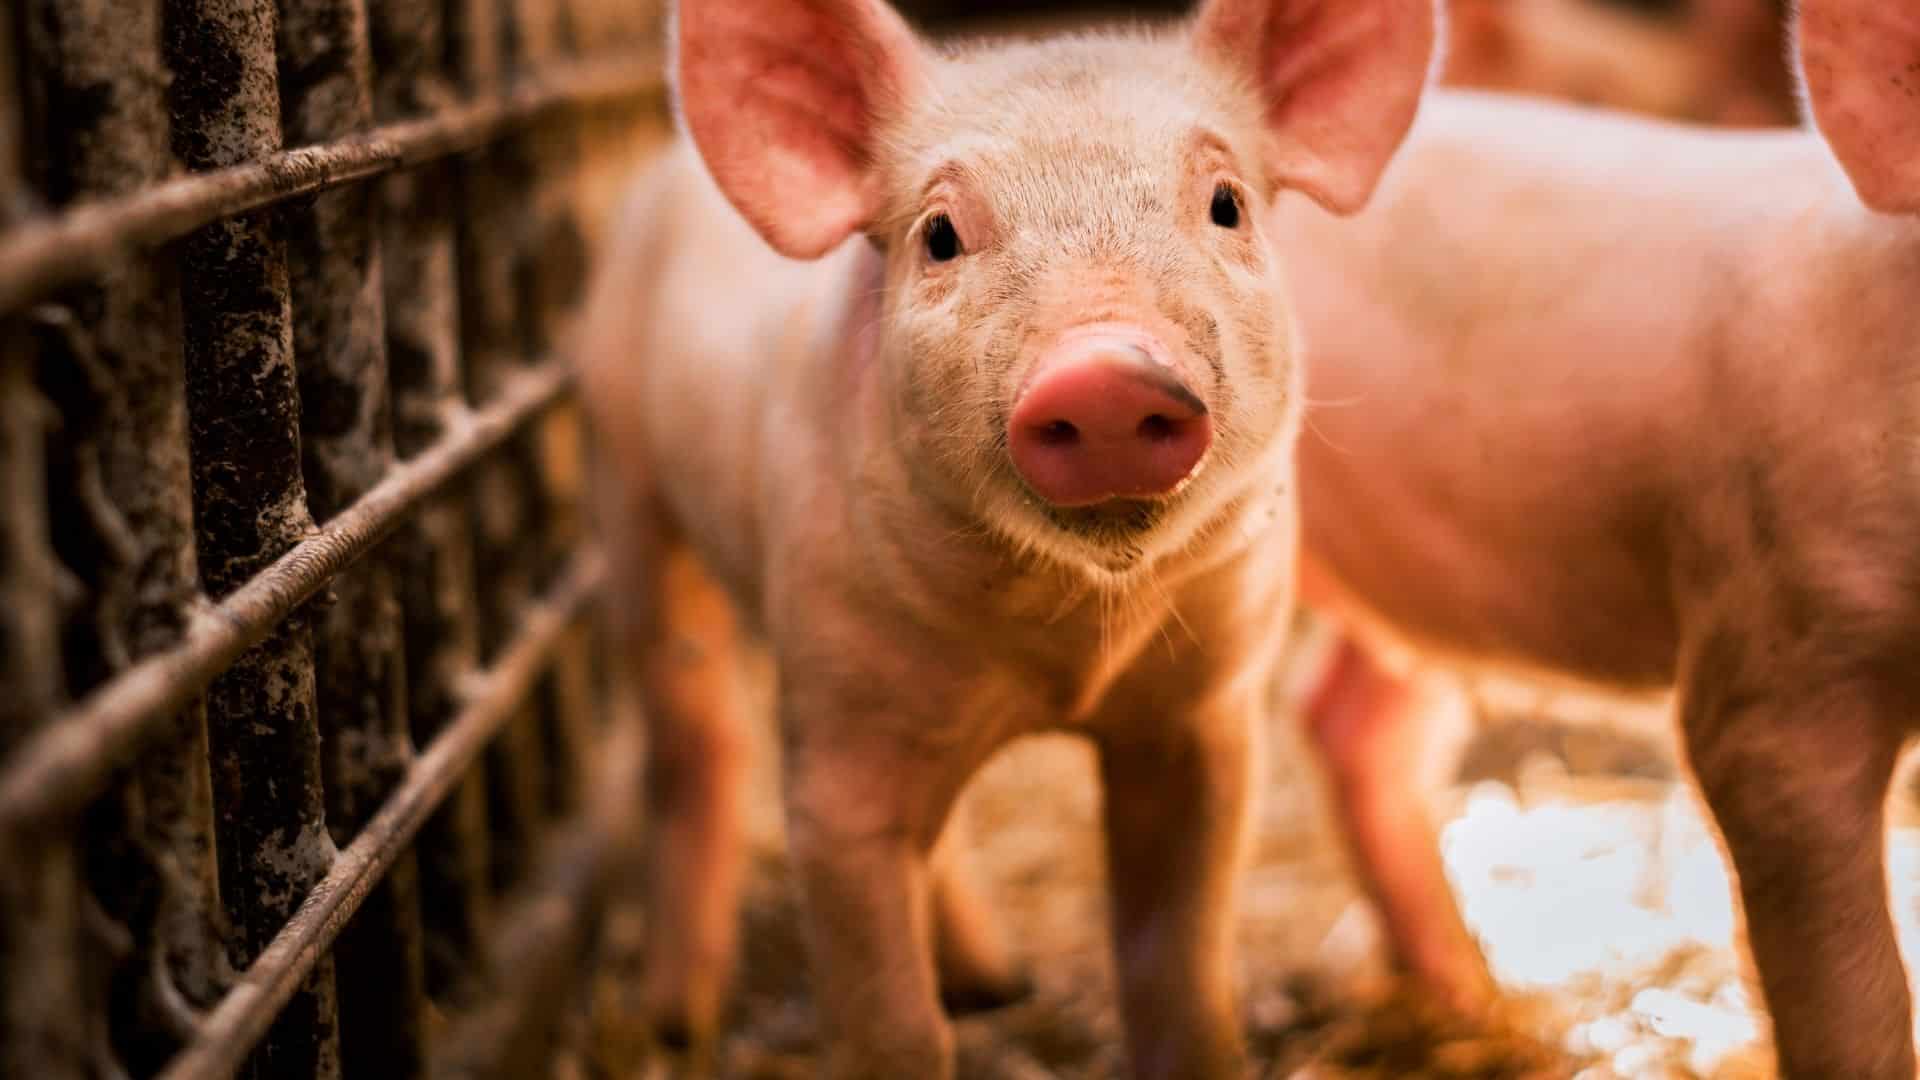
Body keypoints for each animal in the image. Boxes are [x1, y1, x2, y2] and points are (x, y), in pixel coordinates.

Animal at [574, 0, 1436, 1075]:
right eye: (941, 235)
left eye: (1227, 203)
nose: (1105, 371)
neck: (1062, 659)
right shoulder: (833, 745)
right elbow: (894, 1024)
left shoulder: (1209, 713)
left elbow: (1177, 972)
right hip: (623, 475)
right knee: (690, 730)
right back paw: (676, 1021)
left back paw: (994, 981)